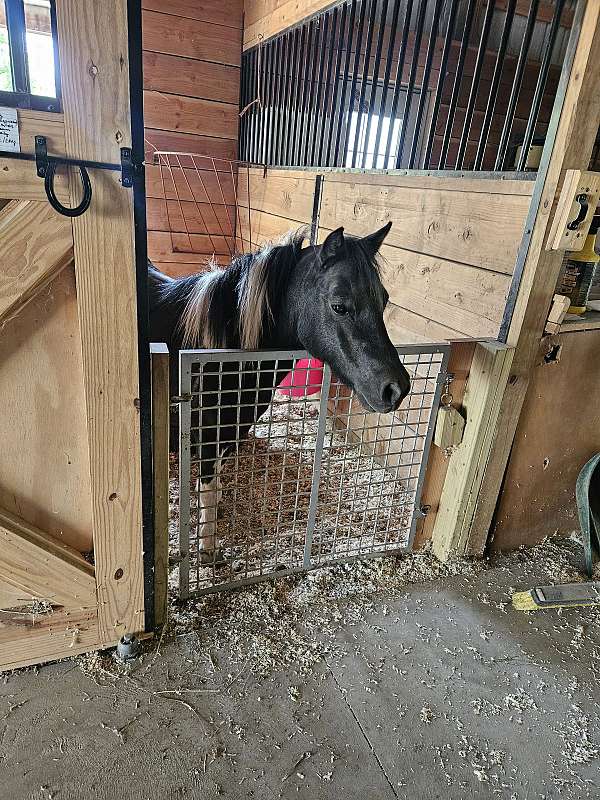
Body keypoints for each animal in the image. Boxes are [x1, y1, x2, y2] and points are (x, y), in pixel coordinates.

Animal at [149, 223, 412, 564]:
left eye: (384, 299)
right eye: (339, 305)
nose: (397, 388)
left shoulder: (231, 432)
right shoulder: (207, 437)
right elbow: (207, 487)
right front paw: (207, 548)